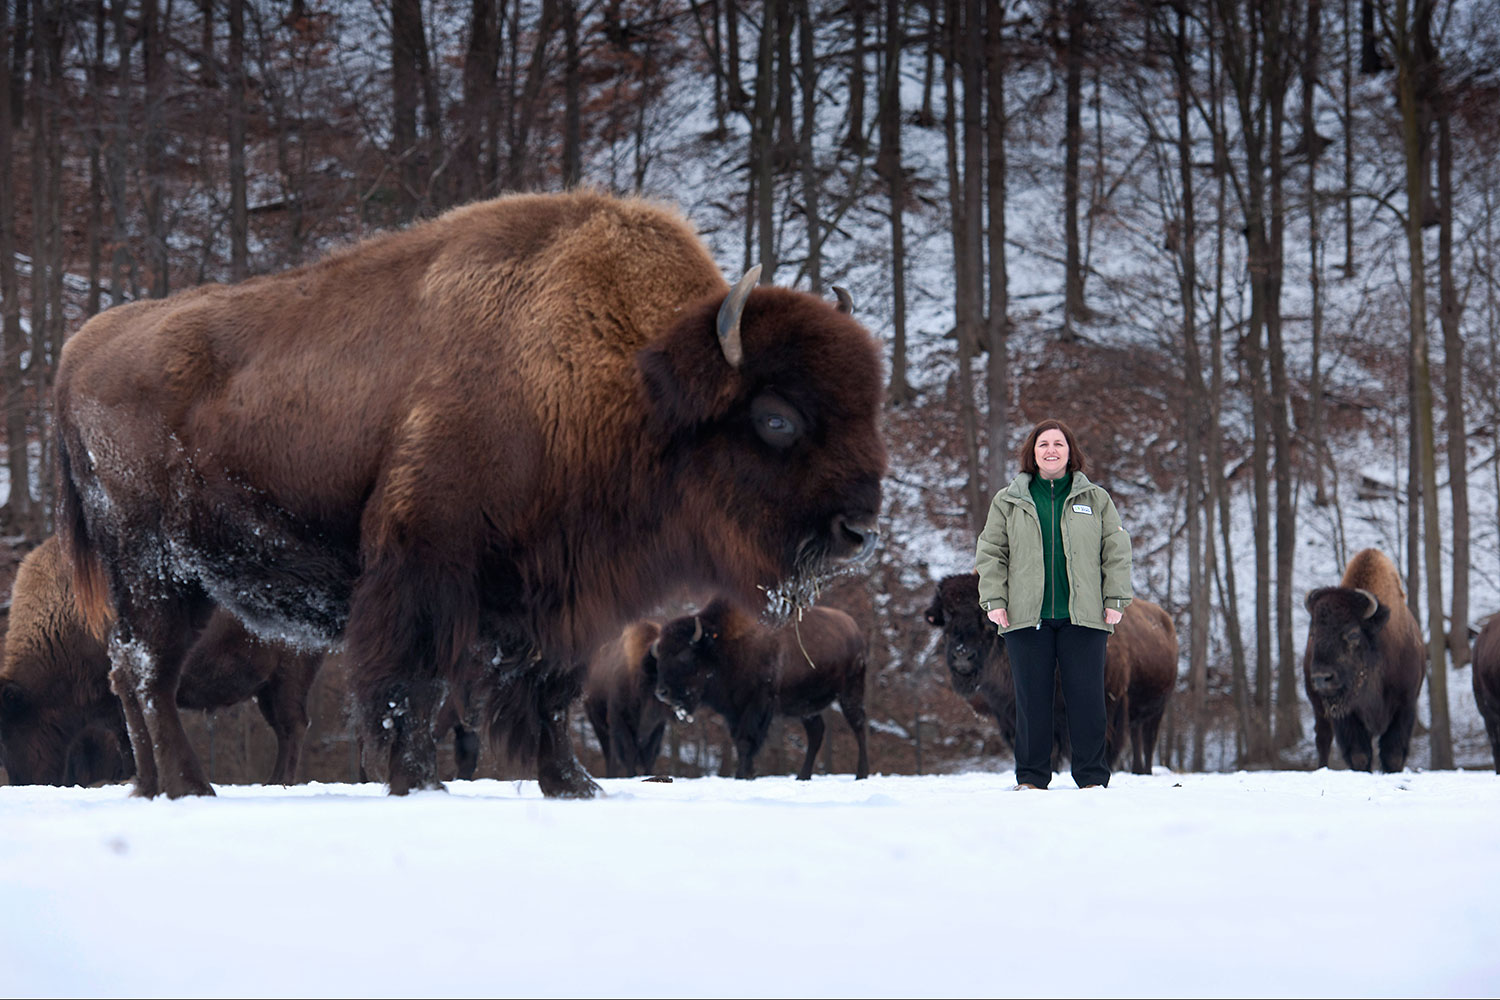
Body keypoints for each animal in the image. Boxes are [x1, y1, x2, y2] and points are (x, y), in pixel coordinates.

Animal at [0, 536, 322, 786]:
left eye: (13, 727)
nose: (22, 781)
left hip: (288, 679)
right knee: (285, 729)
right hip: (266, 689)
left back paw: (279, 782)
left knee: (292, 727)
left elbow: (131, 738)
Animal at [583, 619, 669, 778]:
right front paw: (632, 775)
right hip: (597, 723)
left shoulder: (658, 726)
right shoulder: (619, 720)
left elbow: (650, 755)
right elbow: (629, 752)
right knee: (609, 753)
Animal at [652, 598, 870, 780]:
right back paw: (802, 777)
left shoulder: (757, 702)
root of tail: (855, 629)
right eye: (659, 656)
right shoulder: (734, 710)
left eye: (685, 654)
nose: (662, 692)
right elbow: (739, 741)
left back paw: (861, 774)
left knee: (858, 724)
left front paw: (742, 775)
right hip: (806, 706)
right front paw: (748, 774)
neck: (722, 645)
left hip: (851, 691)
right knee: (817, 732)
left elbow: (746, 740)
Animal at [923, 573, 1177, 775]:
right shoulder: (1013, 717)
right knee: (1138, 740)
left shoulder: (1110, 707)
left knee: (1147, 742)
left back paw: (1144, 772)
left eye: (982, 617)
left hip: (1157, 709)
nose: (962, 655)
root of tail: (1165, 620)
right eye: (946, 617)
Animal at [1303, 548, 1425, 772]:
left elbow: (1393, 755)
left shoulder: (1405, 705)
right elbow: (1359, 755)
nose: (1322, 678)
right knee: (1323, 740)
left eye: (1352, 633)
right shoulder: (1348, 715)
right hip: (1318, 707)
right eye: (1313, 633)